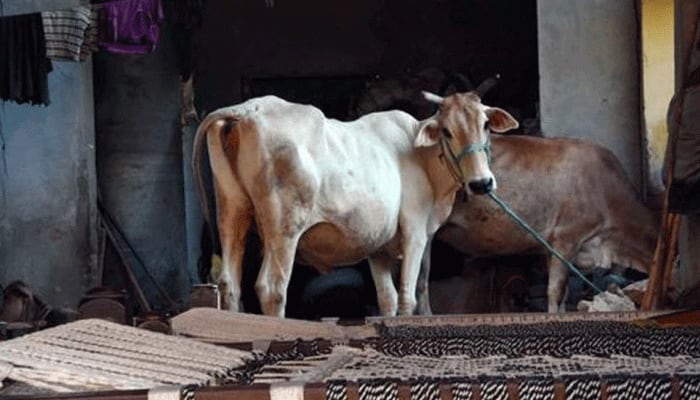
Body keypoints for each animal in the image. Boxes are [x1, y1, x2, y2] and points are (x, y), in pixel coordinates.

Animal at [192, 86, 518, 317]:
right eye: (448, 132)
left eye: (485, 125)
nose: (481, 183)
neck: (421, 156)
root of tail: (249, 108)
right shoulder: (414, 232)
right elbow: (407, 297)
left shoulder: (378, 247)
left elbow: (387, 299)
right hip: (284, 228)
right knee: (272, 288)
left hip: (232, 212)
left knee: (230, 285)